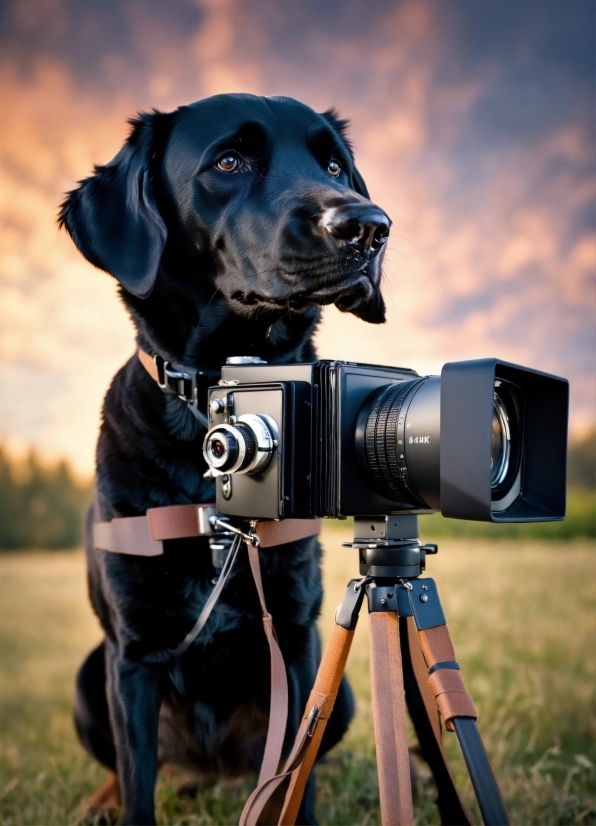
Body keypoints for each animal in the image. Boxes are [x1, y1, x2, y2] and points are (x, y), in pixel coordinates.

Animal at [58, 95, 388, 824]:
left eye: (334, 166)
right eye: (230, 162)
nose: (371, 227)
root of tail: (210, 772)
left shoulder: (296, 634)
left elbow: (297, 777)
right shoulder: (133, 653)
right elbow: (138, 786)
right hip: (90, 677)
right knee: (129, 770)